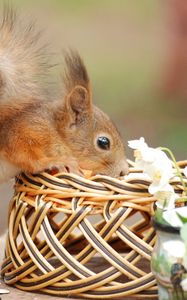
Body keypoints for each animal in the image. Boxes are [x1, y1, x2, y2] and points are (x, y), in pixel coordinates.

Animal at [0, 8, 128, 183]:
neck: (55, 130)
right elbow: (27, 156)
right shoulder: (25, 131)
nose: (124, 171)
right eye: (103, 142)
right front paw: (57, 161)